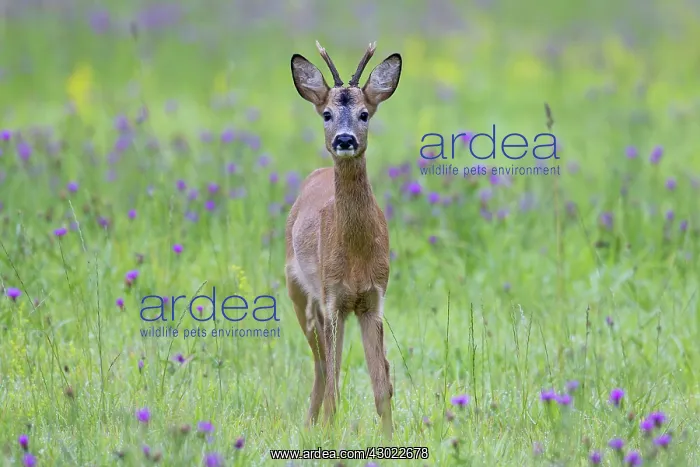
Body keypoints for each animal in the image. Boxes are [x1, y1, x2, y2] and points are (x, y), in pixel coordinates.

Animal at [285, 41, 401, 439]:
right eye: (327, 114)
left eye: (365, 114)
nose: (345, 139)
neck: (355, 256)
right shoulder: (332, 297)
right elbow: (337, 379)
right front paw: (328, 433)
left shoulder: (373, 298)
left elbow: (382, 384)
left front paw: (390, 437)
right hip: (299, 292)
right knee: (323, 366)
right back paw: (311, 425)